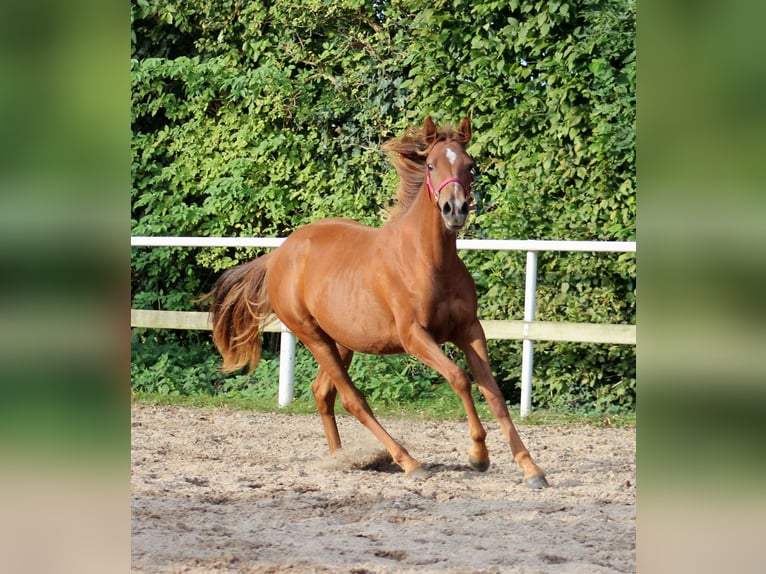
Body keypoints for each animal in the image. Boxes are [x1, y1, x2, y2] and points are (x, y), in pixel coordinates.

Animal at [207, 118, 548, 490]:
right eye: (431, 165)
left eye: (469, 166)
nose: (454, 210)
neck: (429, 260)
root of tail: (280, 255)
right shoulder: (415, 336)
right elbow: (460, 378)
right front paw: (478, 455)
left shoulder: (470, 330)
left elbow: (494, 392)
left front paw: (530, 468)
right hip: (313, 336)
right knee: (353, 400)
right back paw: (409, 462)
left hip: (342, 342)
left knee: (322, 392)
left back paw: (341, 459)